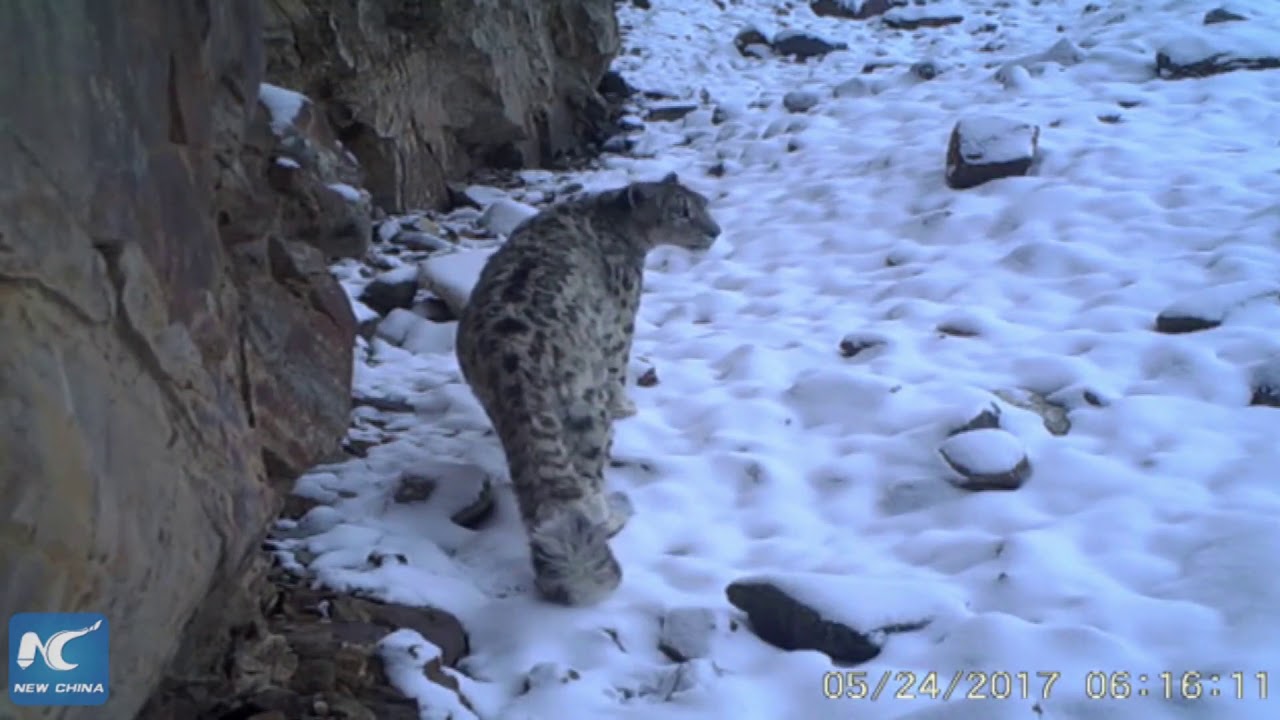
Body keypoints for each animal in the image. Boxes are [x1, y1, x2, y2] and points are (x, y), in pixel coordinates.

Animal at [458, 170, 721, 602]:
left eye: (703, 203)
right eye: (681, 211)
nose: (715, 231)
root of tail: (512, 357)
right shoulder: (621, 324)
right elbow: (619, 369)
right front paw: (627, 405)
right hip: (586, 407)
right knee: (587, 480)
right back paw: (613, 515)